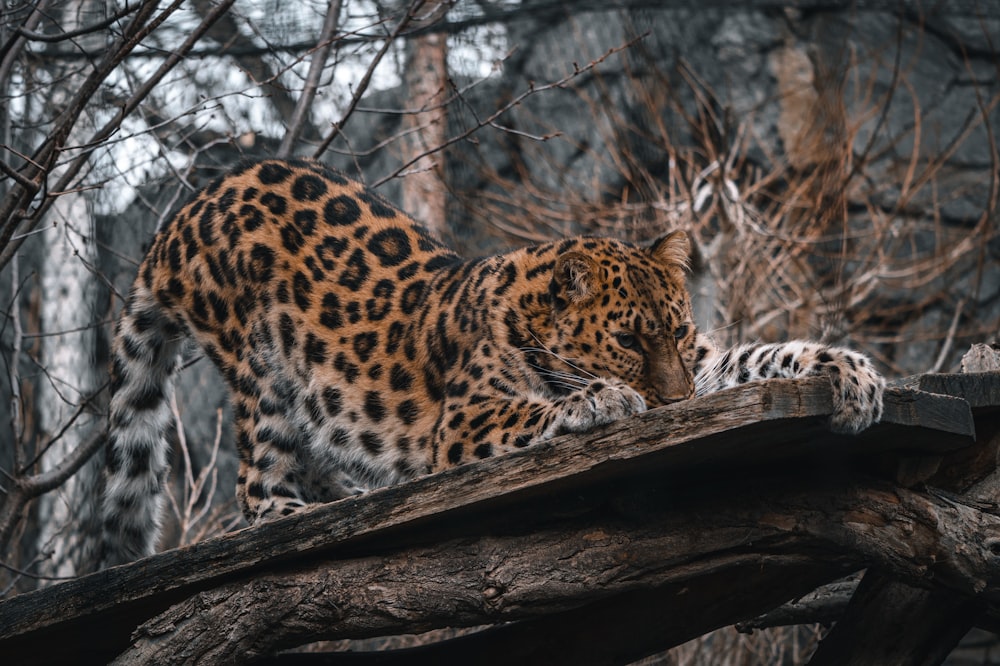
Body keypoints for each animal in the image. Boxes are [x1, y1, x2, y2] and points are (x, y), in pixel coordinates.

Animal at [99, 157, 884, 564]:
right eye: (628, 342)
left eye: (678, 335)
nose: (670, 405)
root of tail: (183, 213)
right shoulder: (463, 419)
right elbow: (536, 405)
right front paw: (602, 399)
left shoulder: (705, 367)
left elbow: (758, 356)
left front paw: (852, 373)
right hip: (260, 367)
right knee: (257, 486)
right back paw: (298, 511)